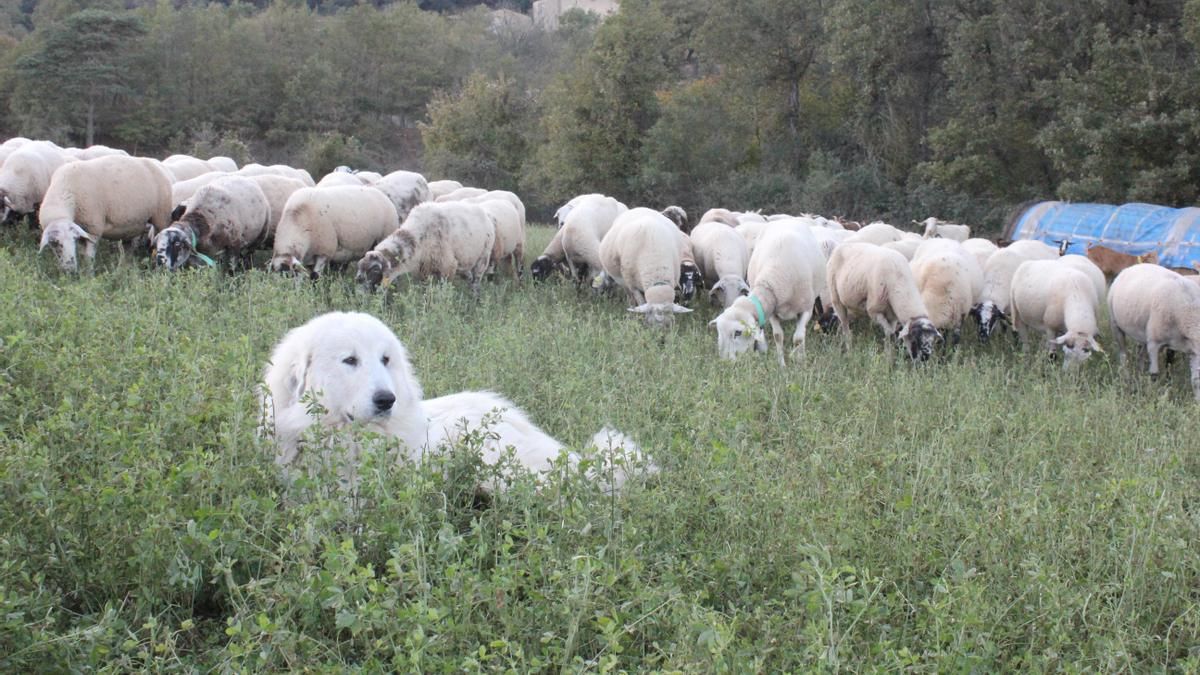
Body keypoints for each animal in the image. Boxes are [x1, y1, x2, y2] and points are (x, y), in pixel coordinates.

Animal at [39, 154, 175, 270]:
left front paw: (88, 276)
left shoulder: (93, 228)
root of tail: (159, 165)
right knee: (128, 250)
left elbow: (88, 258)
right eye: (54, 244)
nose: (70, 268)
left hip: (161, 217)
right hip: (131, 225)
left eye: (73, 239)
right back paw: (123, 269)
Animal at [352, 199, 494, 294]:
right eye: (360, 269)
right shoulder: (424, 270)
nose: (359, 296)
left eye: (375, 271)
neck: (418, 237)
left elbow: (443, 292)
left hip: (483, 258)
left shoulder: (447, 268)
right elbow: (426, 291)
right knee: (469, 277)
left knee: (476, 282)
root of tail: (484, 213)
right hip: (464, 262)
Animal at [710, 224, 825, 362]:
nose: (725, 362)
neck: (774, 279)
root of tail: (786, 220)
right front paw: (781, 364)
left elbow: (798, 338)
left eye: (738, 332)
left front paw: (799, 360)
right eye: (718, 331)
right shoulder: (772, 311)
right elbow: (778, 336)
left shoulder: (806, 309)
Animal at [1104, 264, 1200, 398]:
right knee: (1123, 355)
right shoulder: (1154, 343)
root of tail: (1131, 267)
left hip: (1144, 333)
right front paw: (1153, 395)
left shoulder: (1191, 349)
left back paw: (1139, 375)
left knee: (1141, 355)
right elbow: (1154, 375)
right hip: (1115, 324)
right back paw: (1126, 379)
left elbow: (1195, 380)